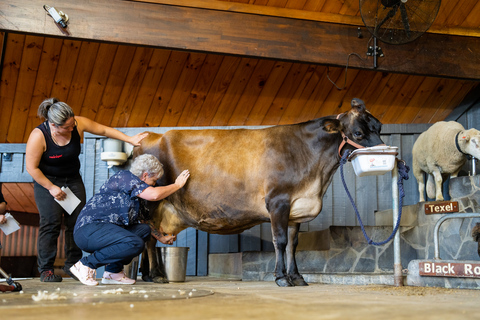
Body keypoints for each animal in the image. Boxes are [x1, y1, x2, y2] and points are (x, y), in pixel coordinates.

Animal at [134, 98, 382, 288]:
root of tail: (150, 135)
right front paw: (281, 278)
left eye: (379, 127)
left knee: (150, 237)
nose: (385, 152)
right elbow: (280, 241)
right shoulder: (278, 202)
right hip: (153, 202)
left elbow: (293, 245)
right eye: (358, 133)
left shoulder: (295, 208)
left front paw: (297, 277)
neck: (318, 180)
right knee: (149, 239)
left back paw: (147, 275)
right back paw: (156, 275)